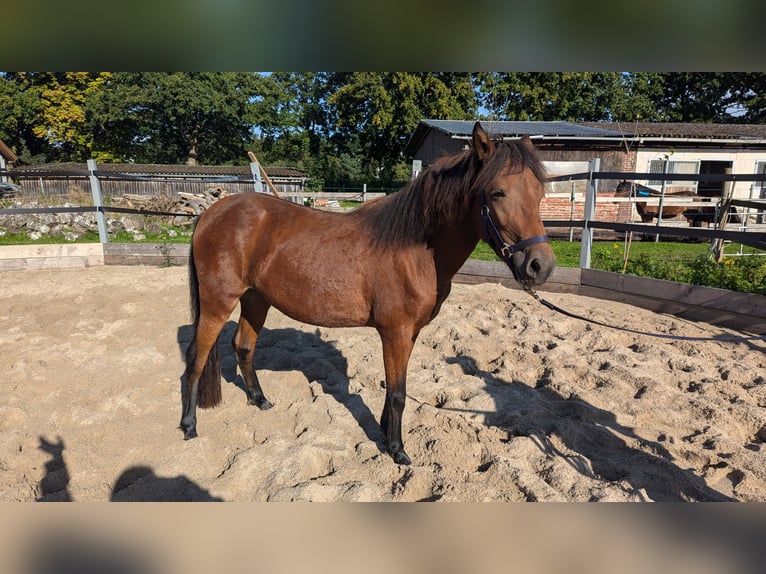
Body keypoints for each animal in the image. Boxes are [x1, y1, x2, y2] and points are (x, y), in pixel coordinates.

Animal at [182, 122, 552, 468]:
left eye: (539, 193)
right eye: (497, 192)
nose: (540, 266)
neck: (415, 247)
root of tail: (212, 212)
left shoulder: (409, 333)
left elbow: (393, 389)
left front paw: (386, 434)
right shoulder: (396, 332)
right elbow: (399, 392)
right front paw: (397, 450)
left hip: (256, 299)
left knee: (243, 347)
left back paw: (259, 400)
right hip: (218, 303)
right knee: (196, 359)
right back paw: (189, 425)